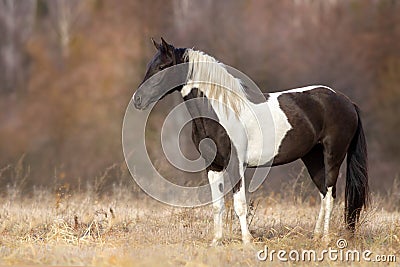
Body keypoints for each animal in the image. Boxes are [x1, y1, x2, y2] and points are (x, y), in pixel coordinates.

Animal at [134, 38, 368, 247]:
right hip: (312, 158)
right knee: (323, 194)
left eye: (162, 67)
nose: (137, 100)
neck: (221, 110)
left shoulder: (236, 164)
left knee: (330, 195)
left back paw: (326, 239)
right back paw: (316, 237)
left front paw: (247, 241)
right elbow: (217, 205)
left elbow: (239, 205)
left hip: (333, 156)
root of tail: (346, 101)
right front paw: (217, 241)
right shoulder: (213, 166)